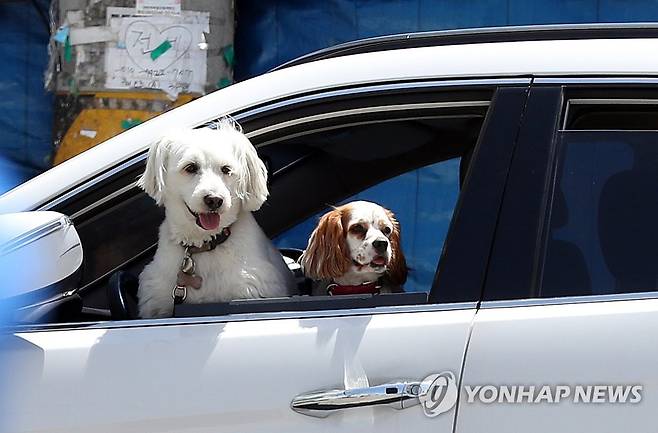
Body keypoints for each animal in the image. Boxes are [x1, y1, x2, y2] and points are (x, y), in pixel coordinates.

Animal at [137, 119, 294, 318]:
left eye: (226, 169)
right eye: (190, 167)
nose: (214, 200)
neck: (203, 244)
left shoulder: (251, 288)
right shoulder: (158, 302)